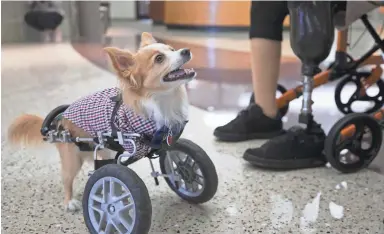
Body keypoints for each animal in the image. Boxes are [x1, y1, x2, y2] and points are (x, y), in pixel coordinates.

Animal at [7, 31, 196, 212]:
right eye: (159, 59)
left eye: (172, 49)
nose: (186, 50)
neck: (162, 101)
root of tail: (59, 120)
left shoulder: (165, 143)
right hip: (72, 159)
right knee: (67, 180)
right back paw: (69, 202)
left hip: (103, 150)